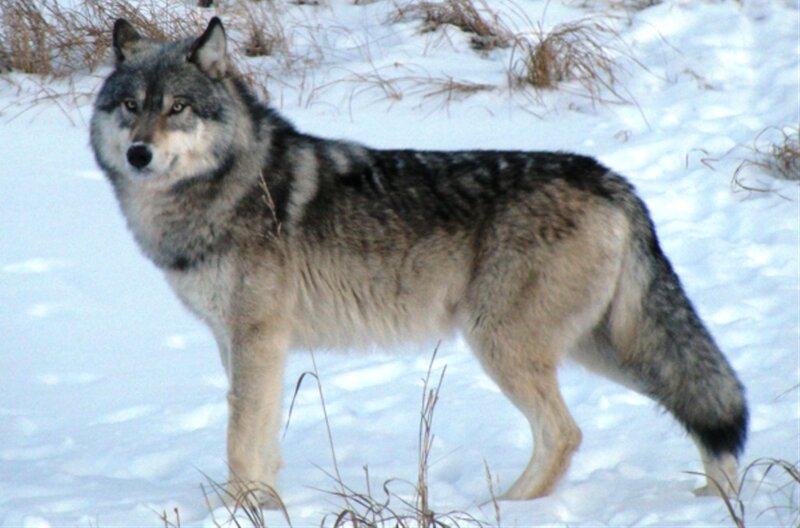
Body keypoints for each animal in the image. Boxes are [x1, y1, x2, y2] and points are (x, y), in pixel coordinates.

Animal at [90, 17, 748, 505]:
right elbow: (262, 441)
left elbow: (239, 443)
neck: (224, 189)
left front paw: (241, 511)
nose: (140, 153)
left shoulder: (257, 339)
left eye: (178, 107)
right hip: (602, 345)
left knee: (566, 432)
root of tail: (611, 179)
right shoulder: (239, 343)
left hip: (502, 342)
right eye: (131, 105)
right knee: (697, 403)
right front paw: (267, 507)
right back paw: (718, 500)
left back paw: (504, 507)